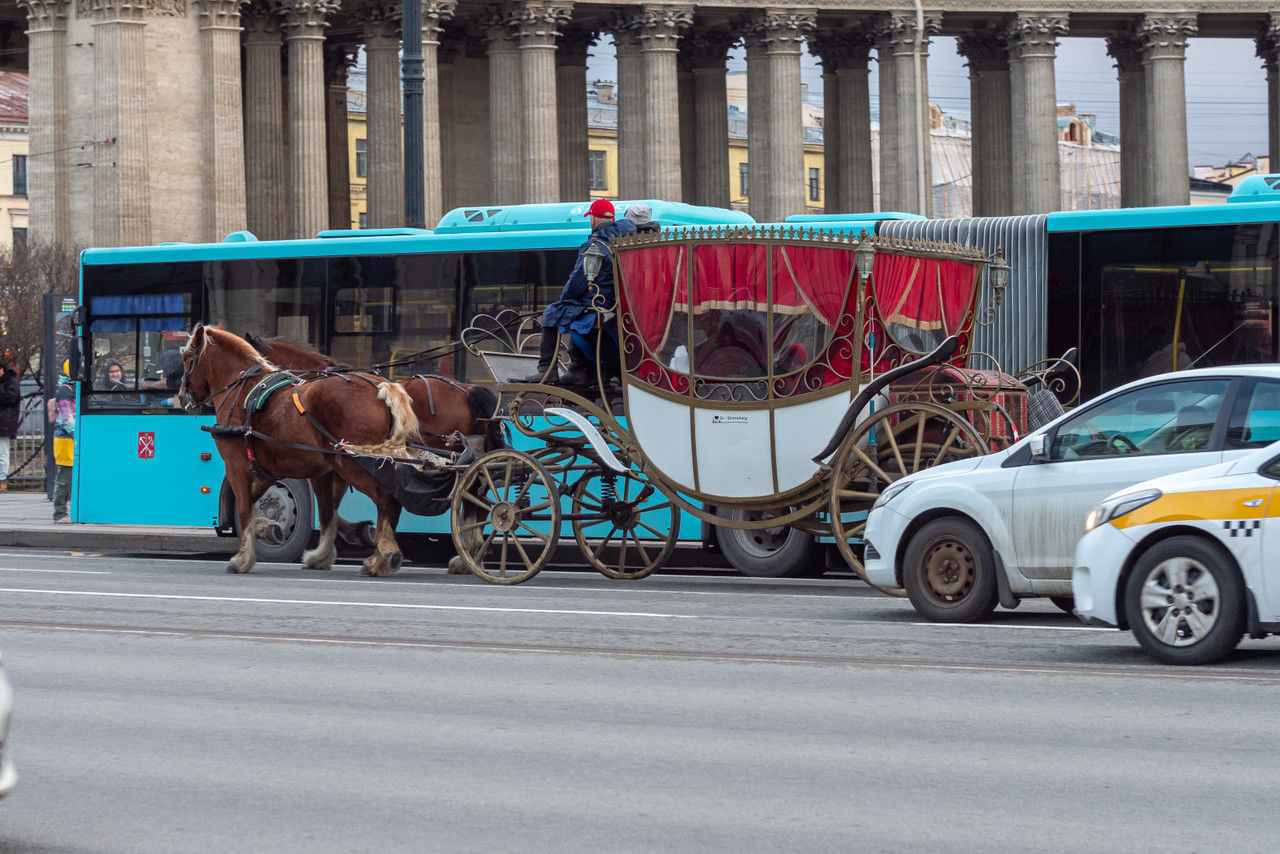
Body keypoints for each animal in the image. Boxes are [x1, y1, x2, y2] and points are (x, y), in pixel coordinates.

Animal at [177, 323, 419, 578]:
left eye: (186, 358)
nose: (182, 397)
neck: (241, 390)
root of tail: (382, 387)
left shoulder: (236, 465)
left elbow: (243, 507)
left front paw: (242, 557)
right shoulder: (288, 470)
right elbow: (323, 512)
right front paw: (304, 547)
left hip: (355, 464)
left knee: (386, 498)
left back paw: (381, 556)